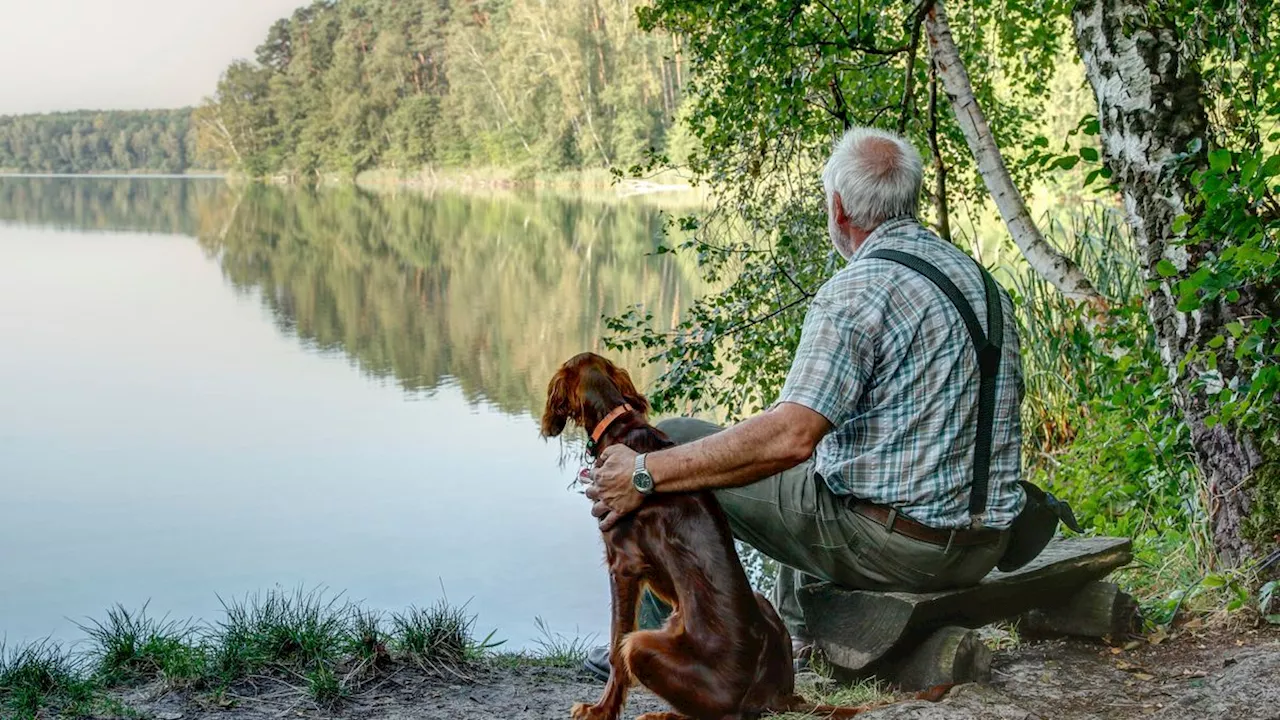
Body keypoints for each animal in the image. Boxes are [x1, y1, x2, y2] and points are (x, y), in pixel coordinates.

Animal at [540, 351, 870, 717]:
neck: (617, 423)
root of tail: (777, 696)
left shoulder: (623, 565)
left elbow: (615, 649)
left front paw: (600, 711)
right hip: (760, 601)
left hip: (642, 645)